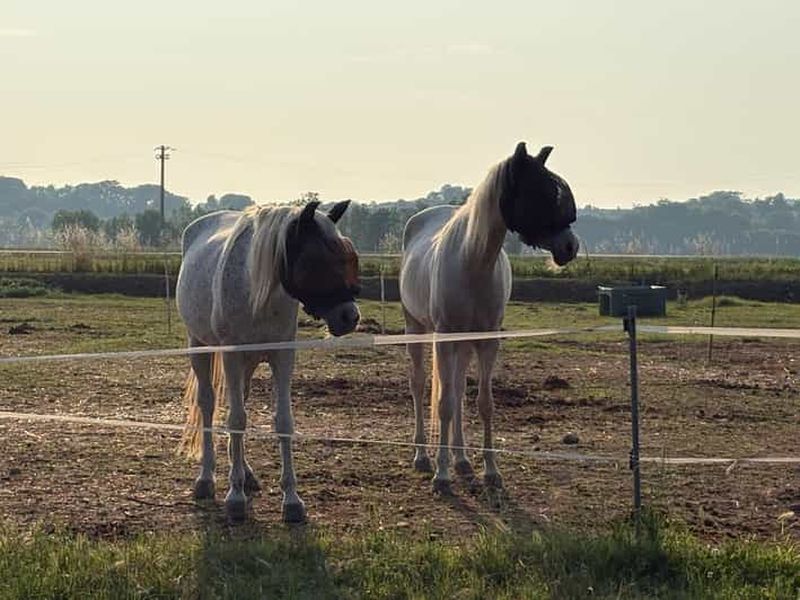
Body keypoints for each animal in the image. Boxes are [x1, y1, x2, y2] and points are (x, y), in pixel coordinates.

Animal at [176, 200, 360, 522]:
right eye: (316, 260)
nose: (350, 317)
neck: (257, 291)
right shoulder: (231, 356)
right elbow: (236, 419)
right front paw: (234, 497)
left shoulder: (282, 357)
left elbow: (282, 421)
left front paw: (292, 500)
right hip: (200, 346)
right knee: (208, 405)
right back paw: (206, 479)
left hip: (247, 364)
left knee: (240, 401)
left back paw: (246, 473)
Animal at [399, 141, 579, 494]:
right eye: (539, 192)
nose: (570, 246)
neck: (473, 262)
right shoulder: (443, 340)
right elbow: (443, 404)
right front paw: (441, 477)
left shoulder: (487, 341)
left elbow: (483, 403)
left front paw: (491, 472)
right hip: (417, 328)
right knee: (419, 384)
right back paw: (423, 456)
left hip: (464, 343)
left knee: (456, 390)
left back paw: (462, 460)